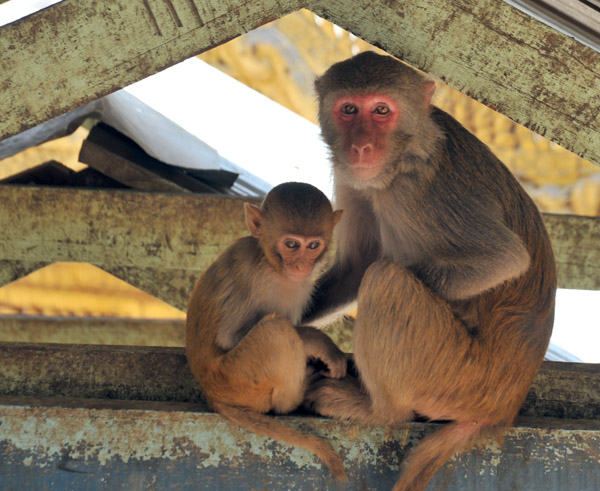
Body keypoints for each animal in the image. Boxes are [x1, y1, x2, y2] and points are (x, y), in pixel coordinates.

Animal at [186, 183, 346, 482]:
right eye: (292, 244)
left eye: (313, 245)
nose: (301, 266)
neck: (272, 265)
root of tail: (213, 396)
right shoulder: (254, 277)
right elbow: (229, 338)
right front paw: (321, 343)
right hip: (236, 378)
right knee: (276, 329)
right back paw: (293, 398)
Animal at [304, 52, 556, 490]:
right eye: (349, 109)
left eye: (381, 110)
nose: (361, 146)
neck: (400, 160)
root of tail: (502, 408)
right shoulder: (356, 183)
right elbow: (354, 267)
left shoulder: (425, 195)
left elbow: (504, 259)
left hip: (454, 374)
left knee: (386, 279)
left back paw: (378, 409)